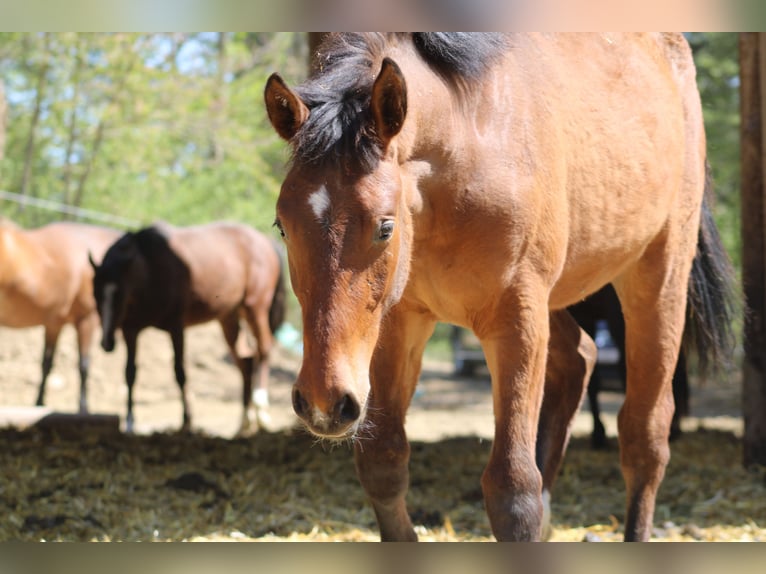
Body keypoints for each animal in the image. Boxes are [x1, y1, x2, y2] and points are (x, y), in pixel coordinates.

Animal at [0, 219, 121, 412]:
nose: (108, 344)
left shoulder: (54, 324)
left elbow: (46, 364)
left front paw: (39, 403)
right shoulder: (87, 320)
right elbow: (83, 365)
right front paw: (83, 408)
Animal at [89, 221, 286, 435]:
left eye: (120, 295)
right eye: (96, 295)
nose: (106, 342)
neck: (151, 266)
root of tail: (264, 241)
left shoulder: (176, 328)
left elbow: (180, 372)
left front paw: (186, 421)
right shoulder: (130, 331)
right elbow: (130, 374)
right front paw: (130, 422)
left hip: (255, 308)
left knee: (264, 349)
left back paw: (262, 410)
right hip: (229, 318)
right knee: (246, 362)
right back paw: (245, 421)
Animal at [264, 33, 735, 541]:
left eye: (385, 227)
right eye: (283, 226)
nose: (323, 403)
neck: (471, 150)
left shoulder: (516, 323)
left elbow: (513, 490)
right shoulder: (399, 324)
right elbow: (383, 462)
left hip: (657, 278)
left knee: (645, 436)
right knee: (580, 360)